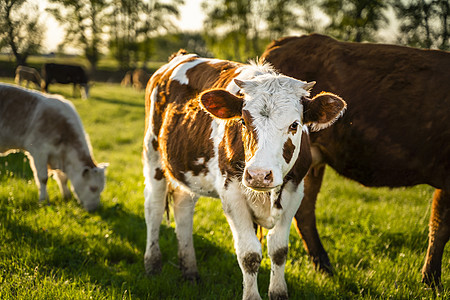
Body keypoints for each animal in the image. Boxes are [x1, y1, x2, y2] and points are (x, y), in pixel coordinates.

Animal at [0, 83, 108, 211]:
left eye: (101, 189)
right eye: (93, 188)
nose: (94, 209)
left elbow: (63, 178)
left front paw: (66, 196)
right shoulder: (39, 151)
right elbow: (43, 178)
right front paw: (43, 201)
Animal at [142, 50, 346, 298]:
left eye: (295, 125)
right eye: (243, 121)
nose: (259, 175)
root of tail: (180, 57)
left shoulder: (295, 190)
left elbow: (279, 249)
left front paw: (278, 293)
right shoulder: (232, 194)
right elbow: (249, 255)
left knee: (183, 209)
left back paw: (190, 273)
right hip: (153, 155)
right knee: (153, 207)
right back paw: (153, 265)